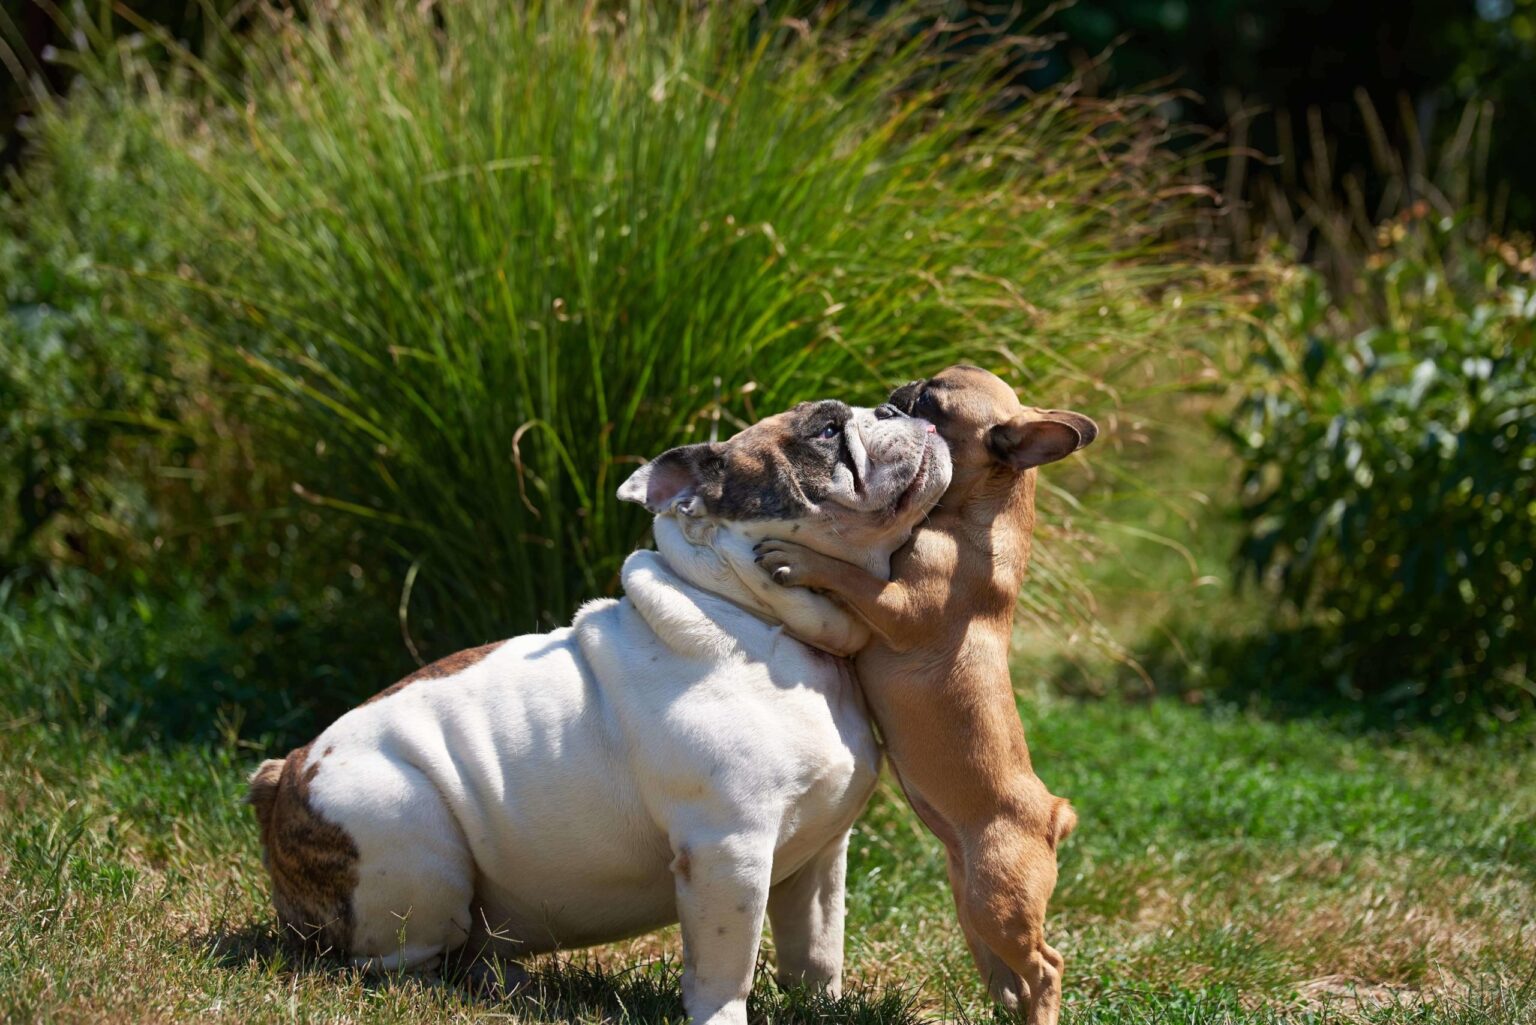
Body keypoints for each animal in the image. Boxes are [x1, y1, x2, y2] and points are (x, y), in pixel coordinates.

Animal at [752, 364, 1093, 1020]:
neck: (976, 516)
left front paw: (799, 557)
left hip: (999, 902)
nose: (894, 397)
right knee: (1008, 975)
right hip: (972, 906)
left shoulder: (897, 605)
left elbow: (850, 576)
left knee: (1046, 967)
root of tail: (1053, 818)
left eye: (932, 401)